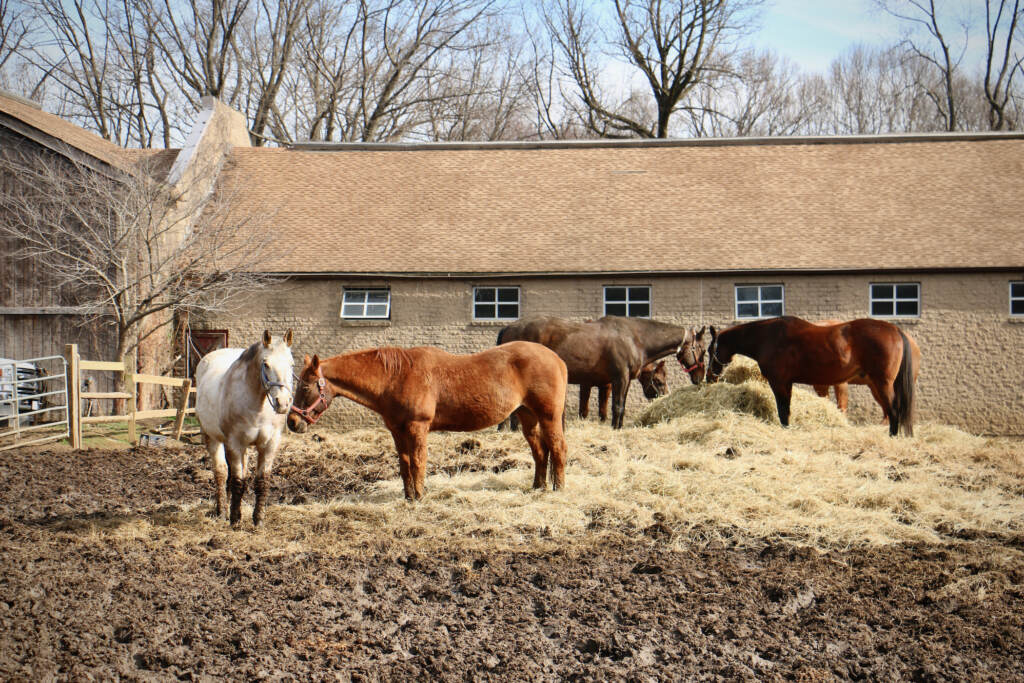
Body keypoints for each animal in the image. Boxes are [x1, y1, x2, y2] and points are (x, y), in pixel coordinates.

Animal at [195, 329, 294, 527]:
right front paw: (235, 520)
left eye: (292, 364)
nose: (282, 403)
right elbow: (238, 482)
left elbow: (261, 481)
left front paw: (258, 520)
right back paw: (222, 511)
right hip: (212, 438)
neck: (258, 406)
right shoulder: (235, 444)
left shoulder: (270, 445)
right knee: (221, 472)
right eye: (266, 364)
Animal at [287, 341, 568, 500]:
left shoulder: (417, 427)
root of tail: (557, 358)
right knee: (540, 452)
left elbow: (418, 462)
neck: (395, 377)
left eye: (305, 387)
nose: (292, 422)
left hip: (549, 416)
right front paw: (409, 496)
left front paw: (420, 496)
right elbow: (404, 464)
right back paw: (538, 487)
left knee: (558, 449)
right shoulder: (396, 430)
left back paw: (558, 489)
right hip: (527, 416)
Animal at [497, 315, 702, 429]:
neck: (635, 338)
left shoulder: (620, 382)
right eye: (701, 349)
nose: (699, 377)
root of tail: (509, 327)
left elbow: (618, 407)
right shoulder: (619, 379)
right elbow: (617, 407)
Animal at [706, 317, 915, 436]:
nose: (709, 378)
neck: (766, 338)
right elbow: (787, 410)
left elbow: (783, 411)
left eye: (710, 350)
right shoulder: (787, 383)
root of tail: (895, 330)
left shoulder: (779, 383)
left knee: (893, 410)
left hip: (882, 383)